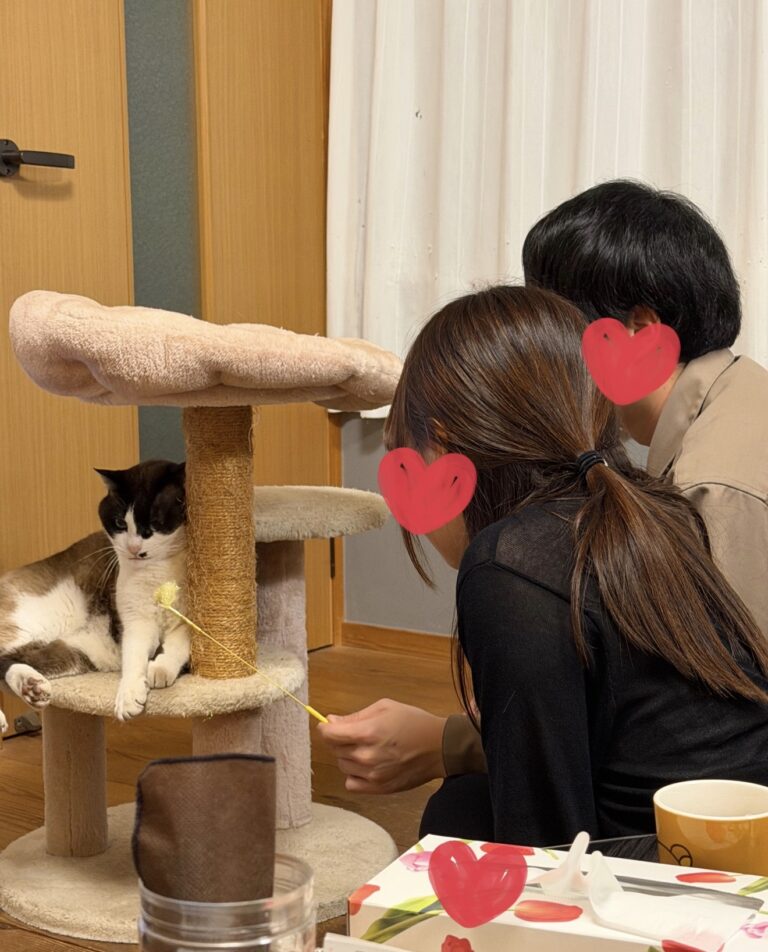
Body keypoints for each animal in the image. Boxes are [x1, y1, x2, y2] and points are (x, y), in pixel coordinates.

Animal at [0, 460, 189, 731]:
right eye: (120, 524)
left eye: (154, 523)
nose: (134, 548)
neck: (157, 571)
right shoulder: (136, 623)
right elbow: (134, 657)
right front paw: (129, 697)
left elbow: (178, 644)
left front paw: (159, 671)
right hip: (34, 620)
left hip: (73, 652)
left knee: (13, 660)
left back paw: (32, 688)